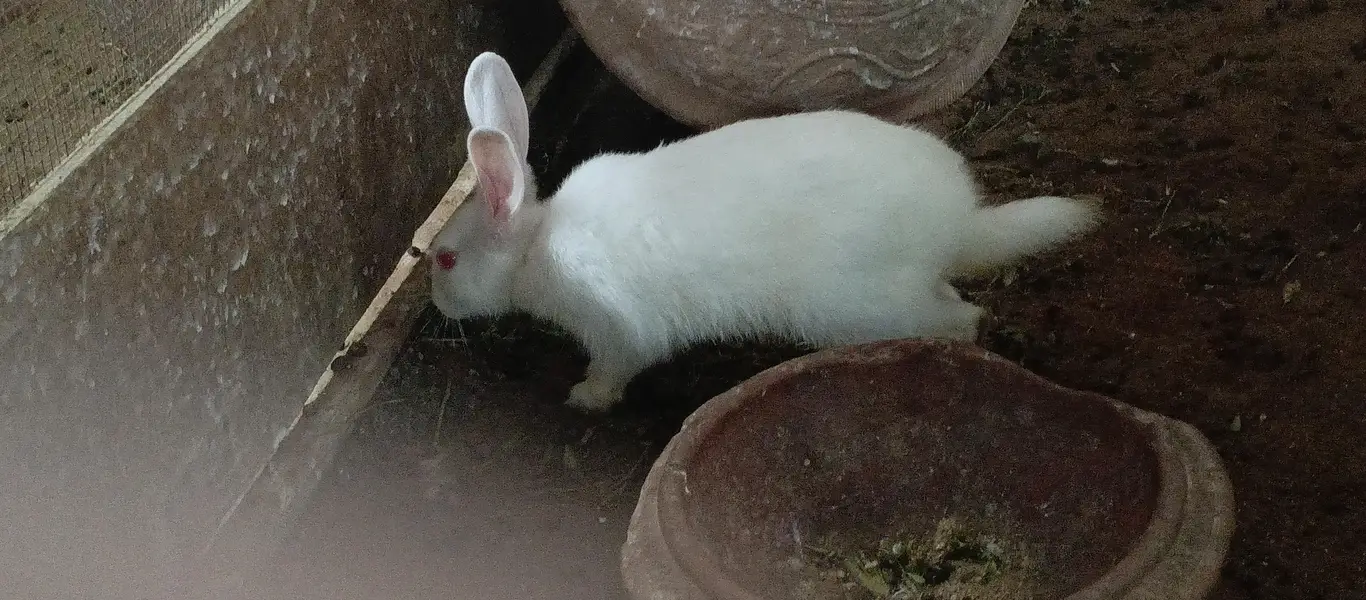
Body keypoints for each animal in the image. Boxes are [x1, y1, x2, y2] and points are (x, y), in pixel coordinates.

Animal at [429, 51, 1100, 413]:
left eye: (445, 261)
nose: (437, 306)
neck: (536, 246)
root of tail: (957, 223)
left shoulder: (619, 332)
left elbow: (616, 368)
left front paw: (584, 397)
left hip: (863, 306)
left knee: (959, 321)